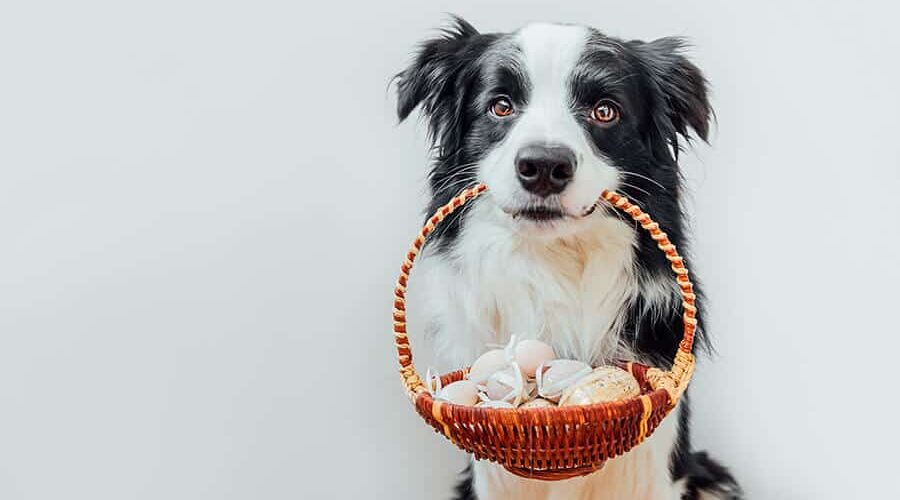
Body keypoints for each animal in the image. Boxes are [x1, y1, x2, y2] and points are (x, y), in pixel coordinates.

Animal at [398, 16, 740, 500]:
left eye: (605, 111)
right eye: (500, 106)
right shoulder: (493, 476)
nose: (543, 166)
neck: (555, 263)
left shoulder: (654, 463)